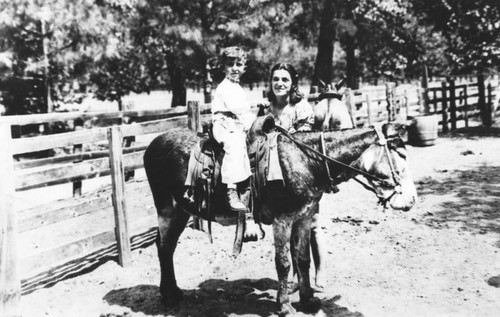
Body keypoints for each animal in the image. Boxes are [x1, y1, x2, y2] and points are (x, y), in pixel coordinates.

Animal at [143, 121, 416, 314]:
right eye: (401, 155)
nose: (412, 200)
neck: (305, 160)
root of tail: (154, 143)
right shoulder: (282, 220)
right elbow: (284, 263)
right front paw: (284, 305)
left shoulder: (303, 218)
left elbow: (303, 259)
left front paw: (308, 299)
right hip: (168, 209)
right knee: (164, 247)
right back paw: (169, 296)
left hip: (181, 211)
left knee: (167, 248)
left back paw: (173, 292)